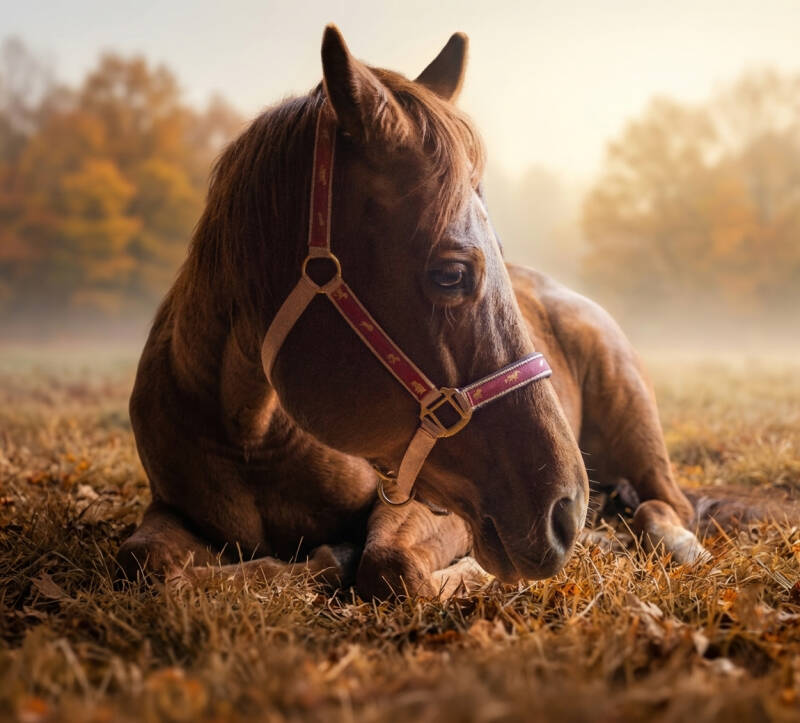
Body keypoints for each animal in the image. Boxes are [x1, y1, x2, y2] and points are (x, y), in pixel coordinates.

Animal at [117, 26, 705, 598]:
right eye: (451, 274)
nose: (567, 509)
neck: (248, 436)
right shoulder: (169, 510)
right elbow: (142, 561)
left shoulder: (425, 499)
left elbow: (389, 565)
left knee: (666, 503)